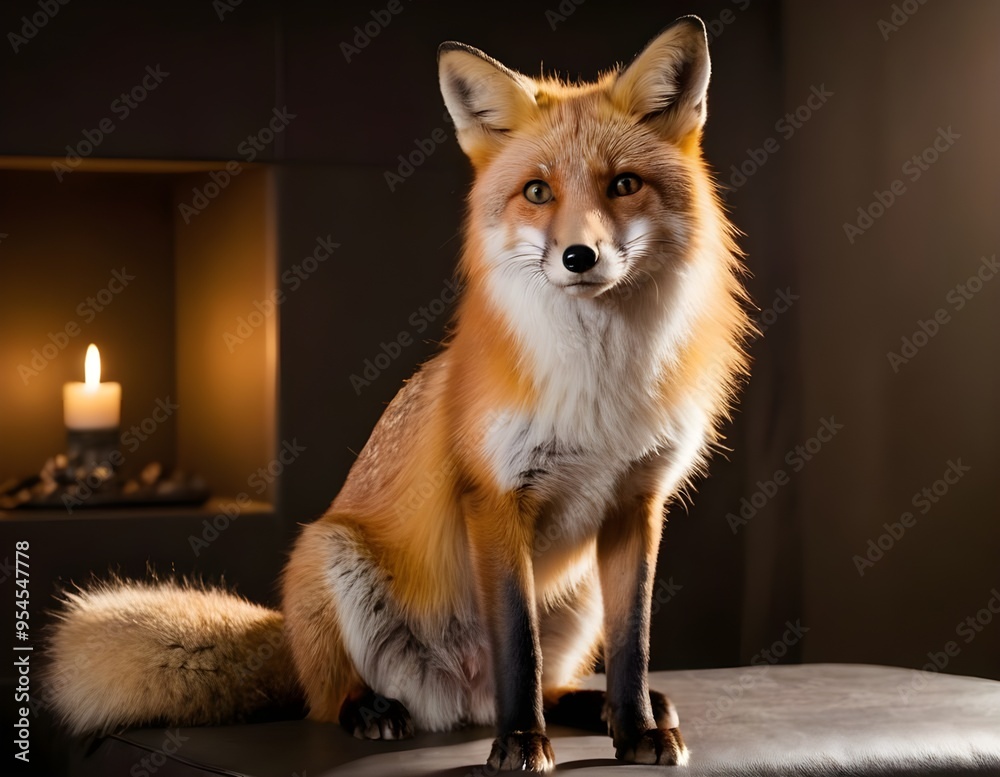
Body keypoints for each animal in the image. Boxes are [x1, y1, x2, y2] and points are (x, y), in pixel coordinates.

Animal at [44, 16, 751, 773]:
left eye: (624, 184)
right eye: (537, 192)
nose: (578, 257)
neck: (600, 384)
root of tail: (464, 696)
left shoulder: (636, 503)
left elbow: (632, 645)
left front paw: (635, 727)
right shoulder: (495, 497)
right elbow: (518, 648)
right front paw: (520, 742)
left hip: (578, 590)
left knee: (556, 679)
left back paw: (599, 708)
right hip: (331, 555)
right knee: (334, 696)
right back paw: (377, 711)